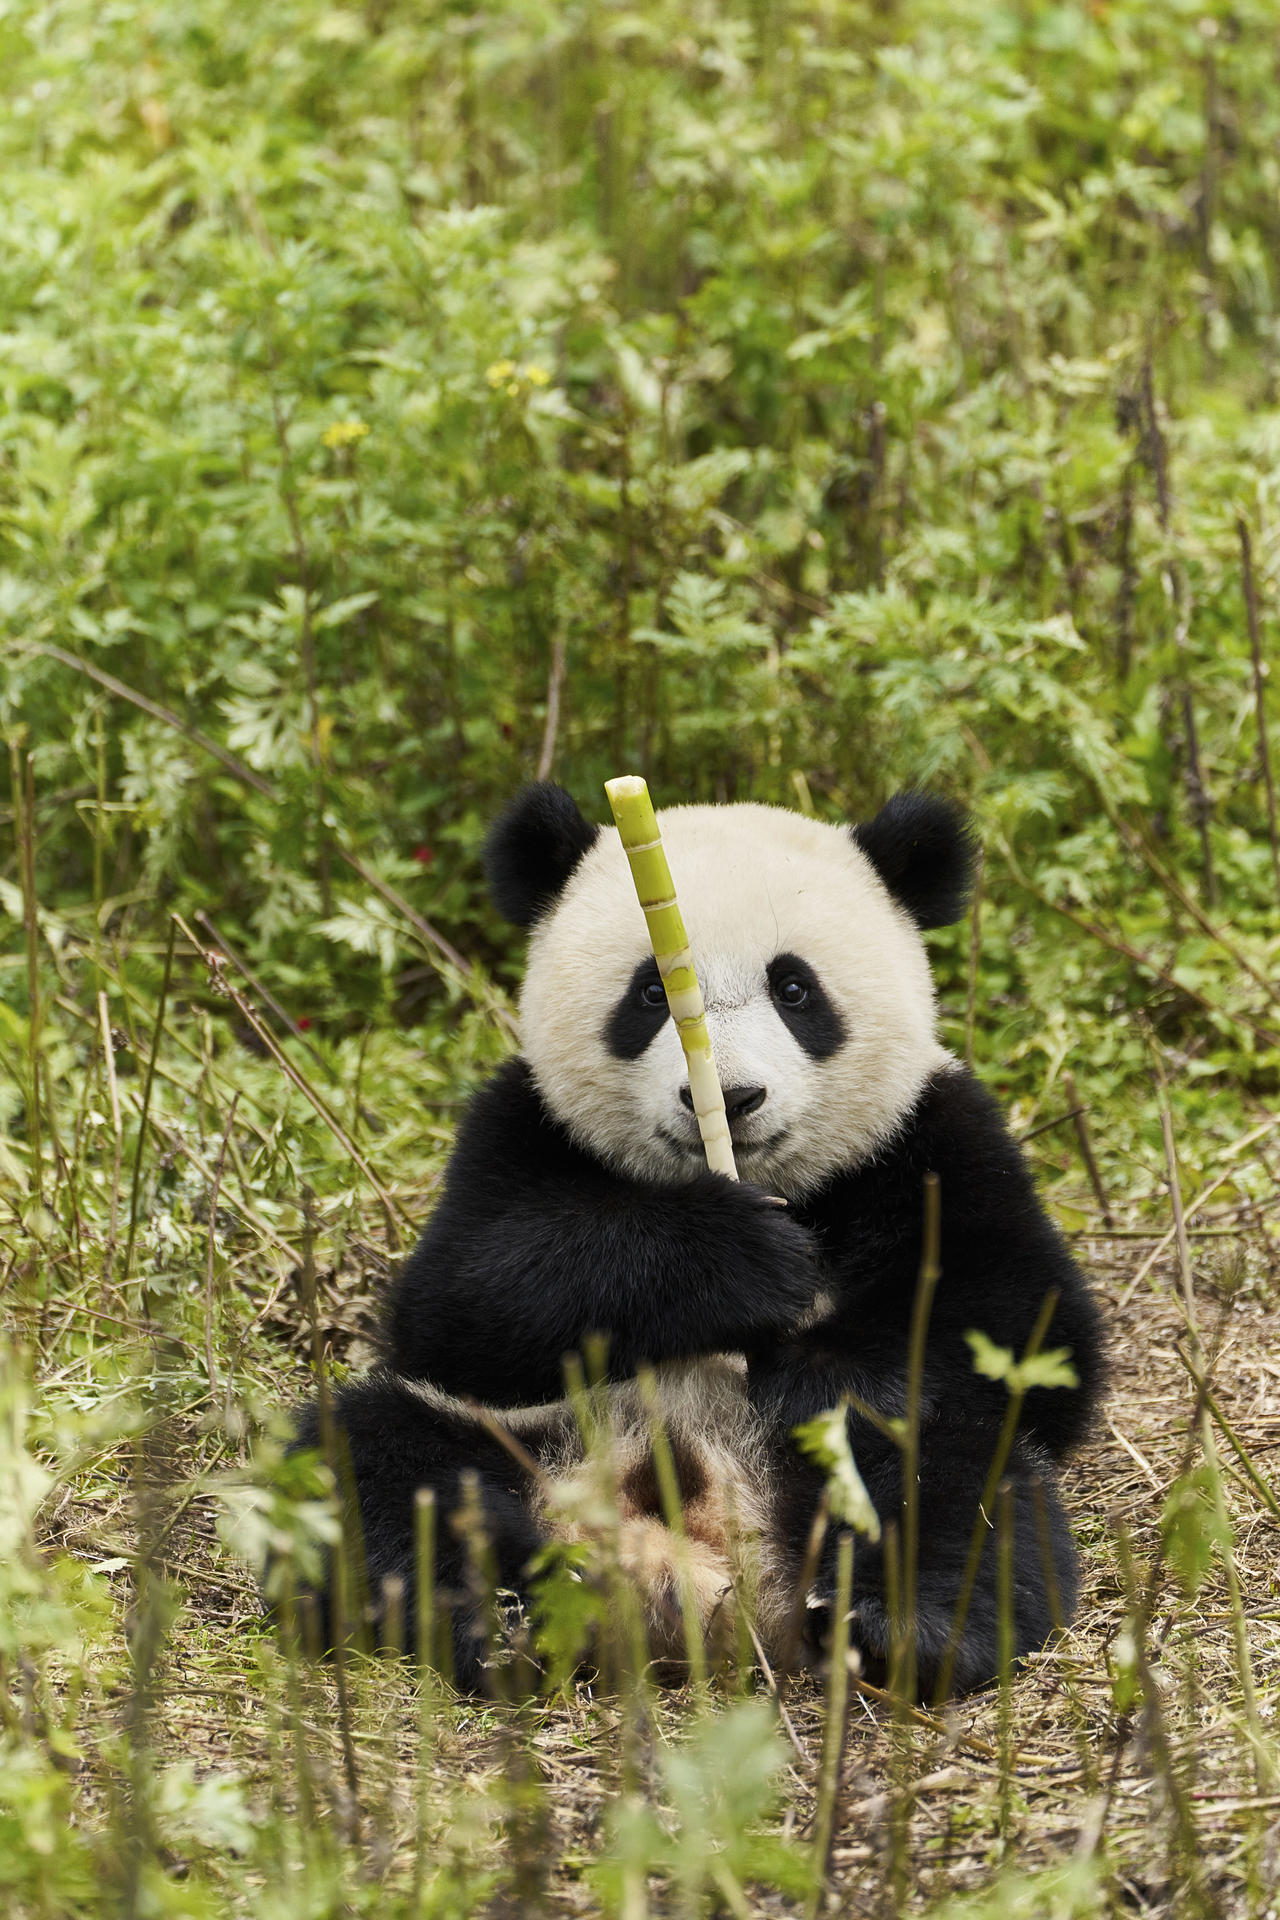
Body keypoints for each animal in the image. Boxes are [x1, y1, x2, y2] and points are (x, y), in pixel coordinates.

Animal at [292, 783, 1102, 1697]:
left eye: (795, 990)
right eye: (649, 994)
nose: (732, 1098)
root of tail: (712, 1564)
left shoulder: (930, 1136)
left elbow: (1025, 1323)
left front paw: (807, 1366)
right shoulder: (518, 1128)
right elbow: (460, 1304)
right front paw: (742, 1260)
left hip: (874, 1463)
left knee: (958, 1492)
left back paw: (900, 1627)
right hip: (521, 1435)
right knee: (378, 1465)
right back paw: (507, 1617)